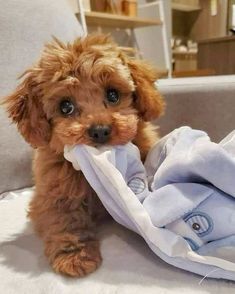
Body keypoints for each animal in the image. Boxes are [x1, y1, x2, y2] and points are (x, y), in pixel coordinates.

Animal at [4, 35, 165, 278]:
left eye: (113, 94)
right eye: (65, 107)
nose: (100, 130)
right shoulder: (55, 191)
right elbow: (66, 220)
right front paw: (74, 256)